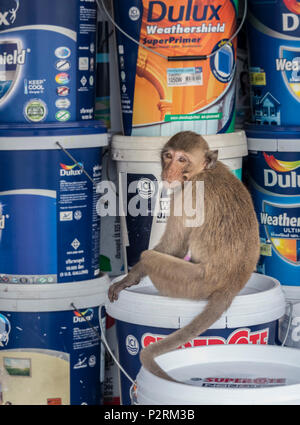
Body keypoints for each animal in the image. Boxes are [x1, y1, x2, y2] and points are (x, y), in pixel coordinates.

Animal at [108, 130, 260, 380]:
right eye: (168, 156)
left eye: (182, 159)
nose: (169, 171)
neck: (204, 171)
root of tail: (232, 284)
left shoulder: (185, 195)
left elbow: (173, 247)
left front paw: (129, 279)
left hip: (192, 282)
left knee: (150, 257)